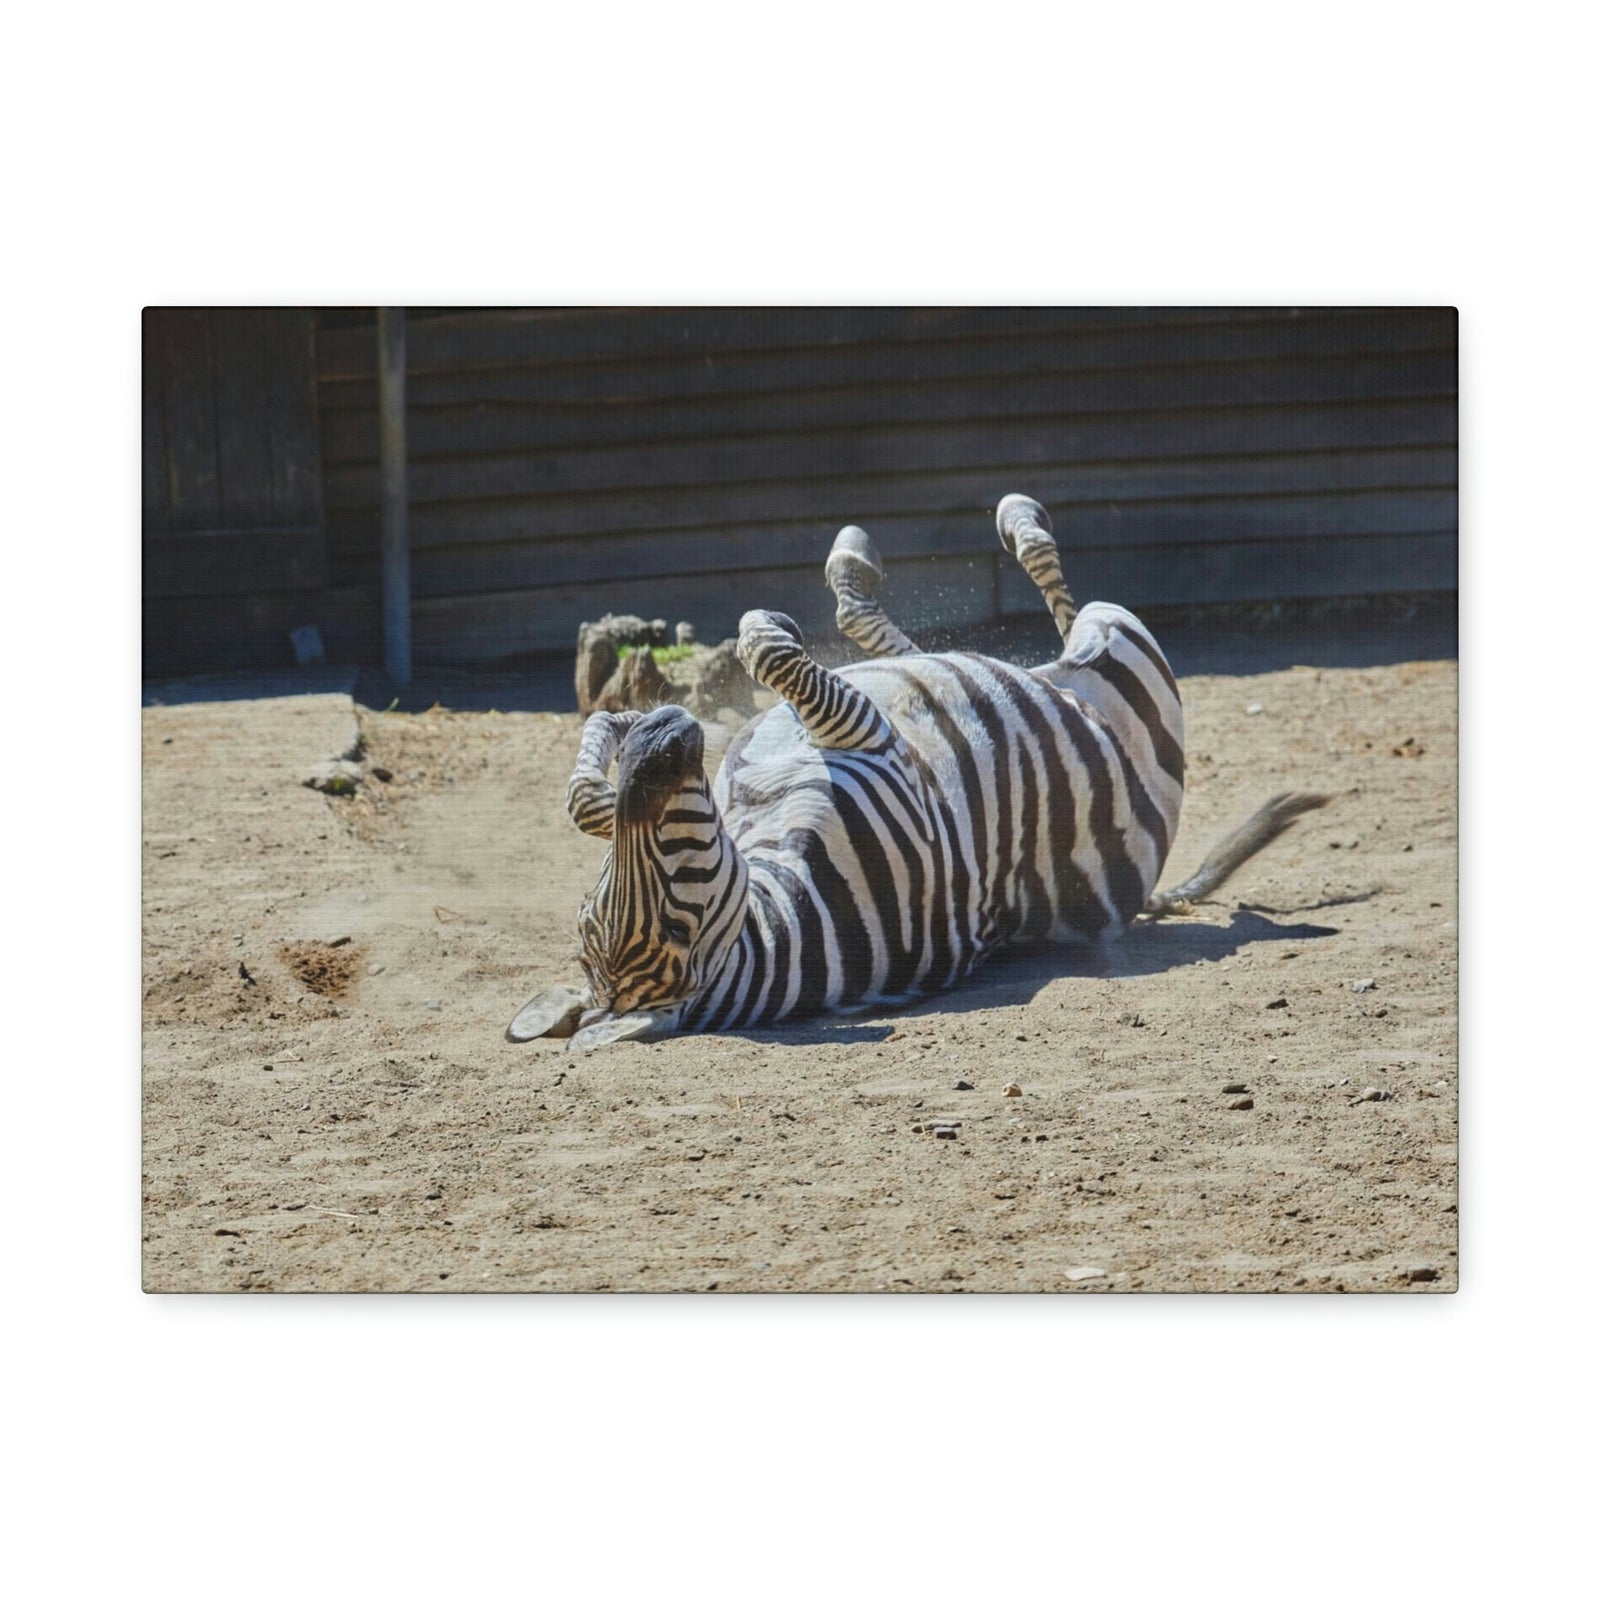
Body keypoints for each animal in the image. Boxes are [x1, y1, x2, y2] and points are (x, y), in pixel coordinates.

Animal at [509, 493, 1327, 1049]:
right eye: (673, 917)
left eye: (600, 903)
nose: (666, 733)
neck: (779, 909)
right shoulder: (872, 743)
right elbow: (763, 648)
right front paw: (758, 637)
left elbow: (586, 799)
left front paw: (612, 732)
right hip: (1126, 655)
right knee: (1062, 609)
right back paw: (1014, 519)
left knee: (902, 640)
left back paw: (861, 557)